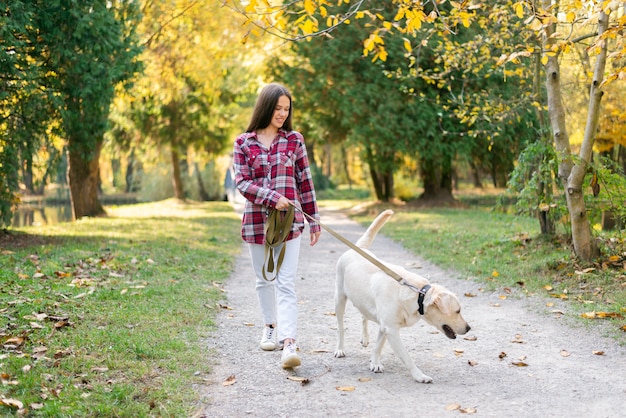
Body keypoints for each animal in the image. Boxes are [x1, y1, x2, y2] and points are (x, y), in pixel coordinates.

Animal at [332, 211, 468, 384]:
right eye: (458, 311)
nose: (469, 328)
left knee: (364, 316)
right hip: (339, 299)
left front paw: (375, 362)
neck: (417, 294)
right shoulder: (391, 329)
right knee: (340, 327)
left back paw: (365, 338)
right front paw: (419, 376)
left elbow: (378, 346)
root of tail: (360, 248)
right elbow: (407, 357)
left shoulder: (385, 326)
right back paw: (340, 349)